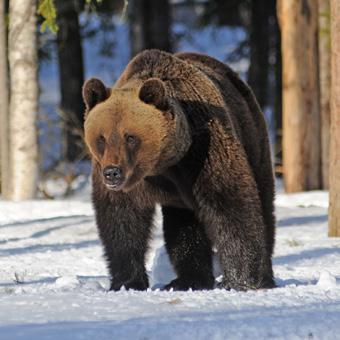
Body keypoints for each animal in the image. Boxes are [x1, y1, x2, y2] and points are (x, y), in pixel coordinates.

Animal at [82, 49, 276, 290]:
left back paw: (265, 277)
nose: (112, 172)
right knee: (184, 226)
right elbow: (121, 219)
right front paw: (127, 281)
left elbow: (231, 204)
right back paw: (188, 279)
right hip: (180, 200)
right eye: (101, 138)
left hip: (252, 135)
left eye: (130, 137)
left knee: (264, 202)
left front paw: (239, 281)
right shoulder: (131, 183)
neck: (162, 166)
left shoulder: (204, 152)